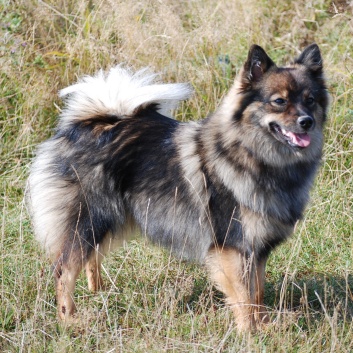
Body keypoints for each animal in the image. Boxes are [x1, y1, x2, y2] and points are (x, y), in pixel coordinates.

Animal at [26, 44, 328, 330]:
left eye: (310, 100)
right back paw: (68, 319)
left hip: (112, 218)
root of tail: (87, 124)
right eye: (279, 101)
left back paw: (98, 292)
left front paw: (264, 327)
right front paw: (249, 333)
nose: (307, 121)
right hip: (90, 218)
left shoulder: (257, 249)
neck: (254, 155)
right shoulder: (233, 245)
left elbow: (257, 294)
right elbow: (243, 296)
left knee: (91, 257)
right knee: (64, 270)